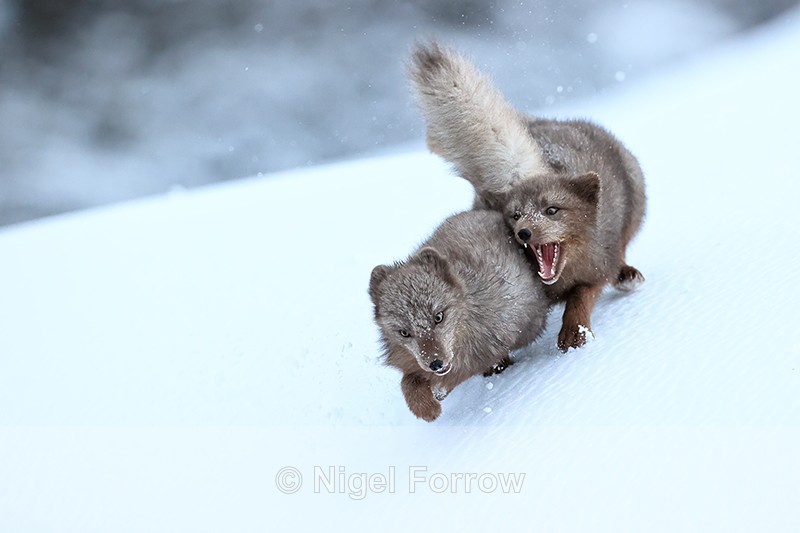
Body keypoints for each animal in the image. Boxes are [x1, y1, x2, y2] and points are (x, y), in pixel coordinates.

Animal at [408, 41, 646, 352]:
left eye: (552, 210)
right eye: (516, 215)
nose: (524, 232)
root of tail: (541, 122)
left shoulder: (596, 269)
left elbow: (580, 298)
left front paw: (574, 333)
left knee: (622, 251)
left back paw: (627, 275)